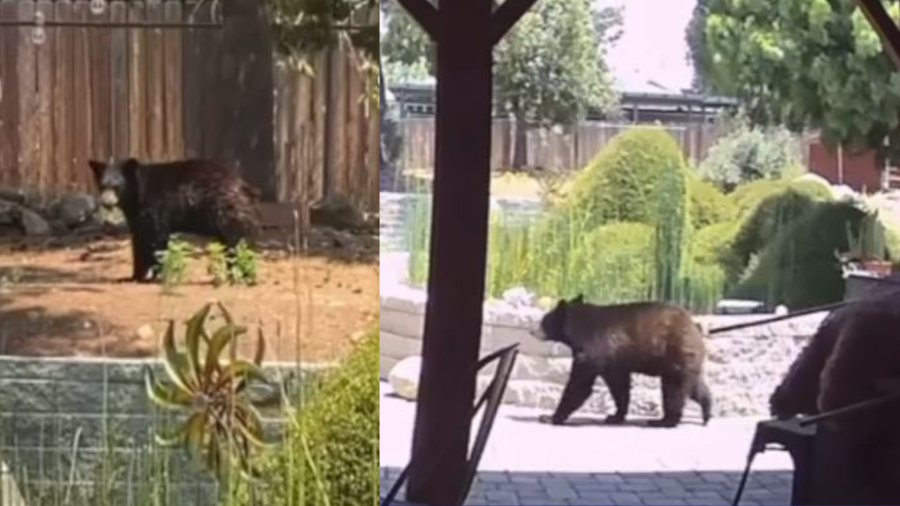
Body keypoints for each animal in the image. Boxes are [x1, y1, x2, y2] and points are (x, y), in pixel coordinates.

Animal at [88, 158, 260, 282]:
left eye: (117, 187)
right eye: (102, 186)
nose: (105, 202)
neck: (137, 196)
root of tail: (246, 187)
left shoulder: (155, 206)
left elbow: (157, 238)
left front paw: (155, 276)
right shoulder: (137, 217)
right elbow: (139, 242)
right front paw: (133, 277)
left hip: (228, 211)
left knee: (239, 241)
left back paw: (243, 273)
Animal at [532, 294, 712, 428]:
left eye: (543, 321)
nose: (532, 331)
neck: (579, 330)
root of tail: (694, 326)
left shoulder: (593, 350)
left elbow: (579, 384)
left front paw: (550, 417)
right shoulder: (614, 361)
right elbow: (619, 385)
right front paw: (615, 416)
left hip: (675, 352)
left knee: (674, 388)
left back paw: (664, 421)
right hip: (686, 359)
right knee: (694, 386)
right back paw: (706, 411)